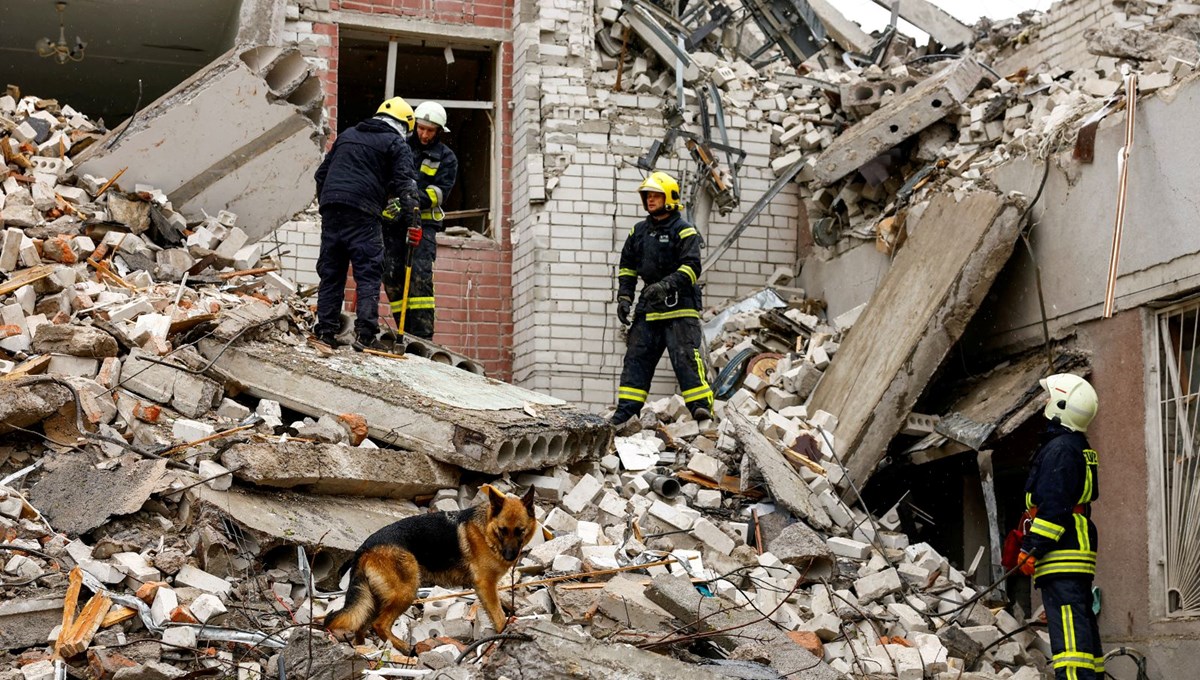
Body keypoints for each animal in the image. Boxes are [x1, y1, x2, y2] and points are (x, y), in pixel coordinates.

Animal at [326, 486, 537, 652]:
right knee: (379, 624)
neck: (486, 530)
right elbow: (499, 615)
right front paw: (504, 633)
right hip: (405, 592)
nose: (510, 556)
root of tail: (364, 548)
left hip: (375, 599)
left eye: (520, 531)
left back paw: (362, 649)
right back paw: (403, 648)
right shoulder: (486, 585)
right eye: (503, 530)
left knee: (361, 626)